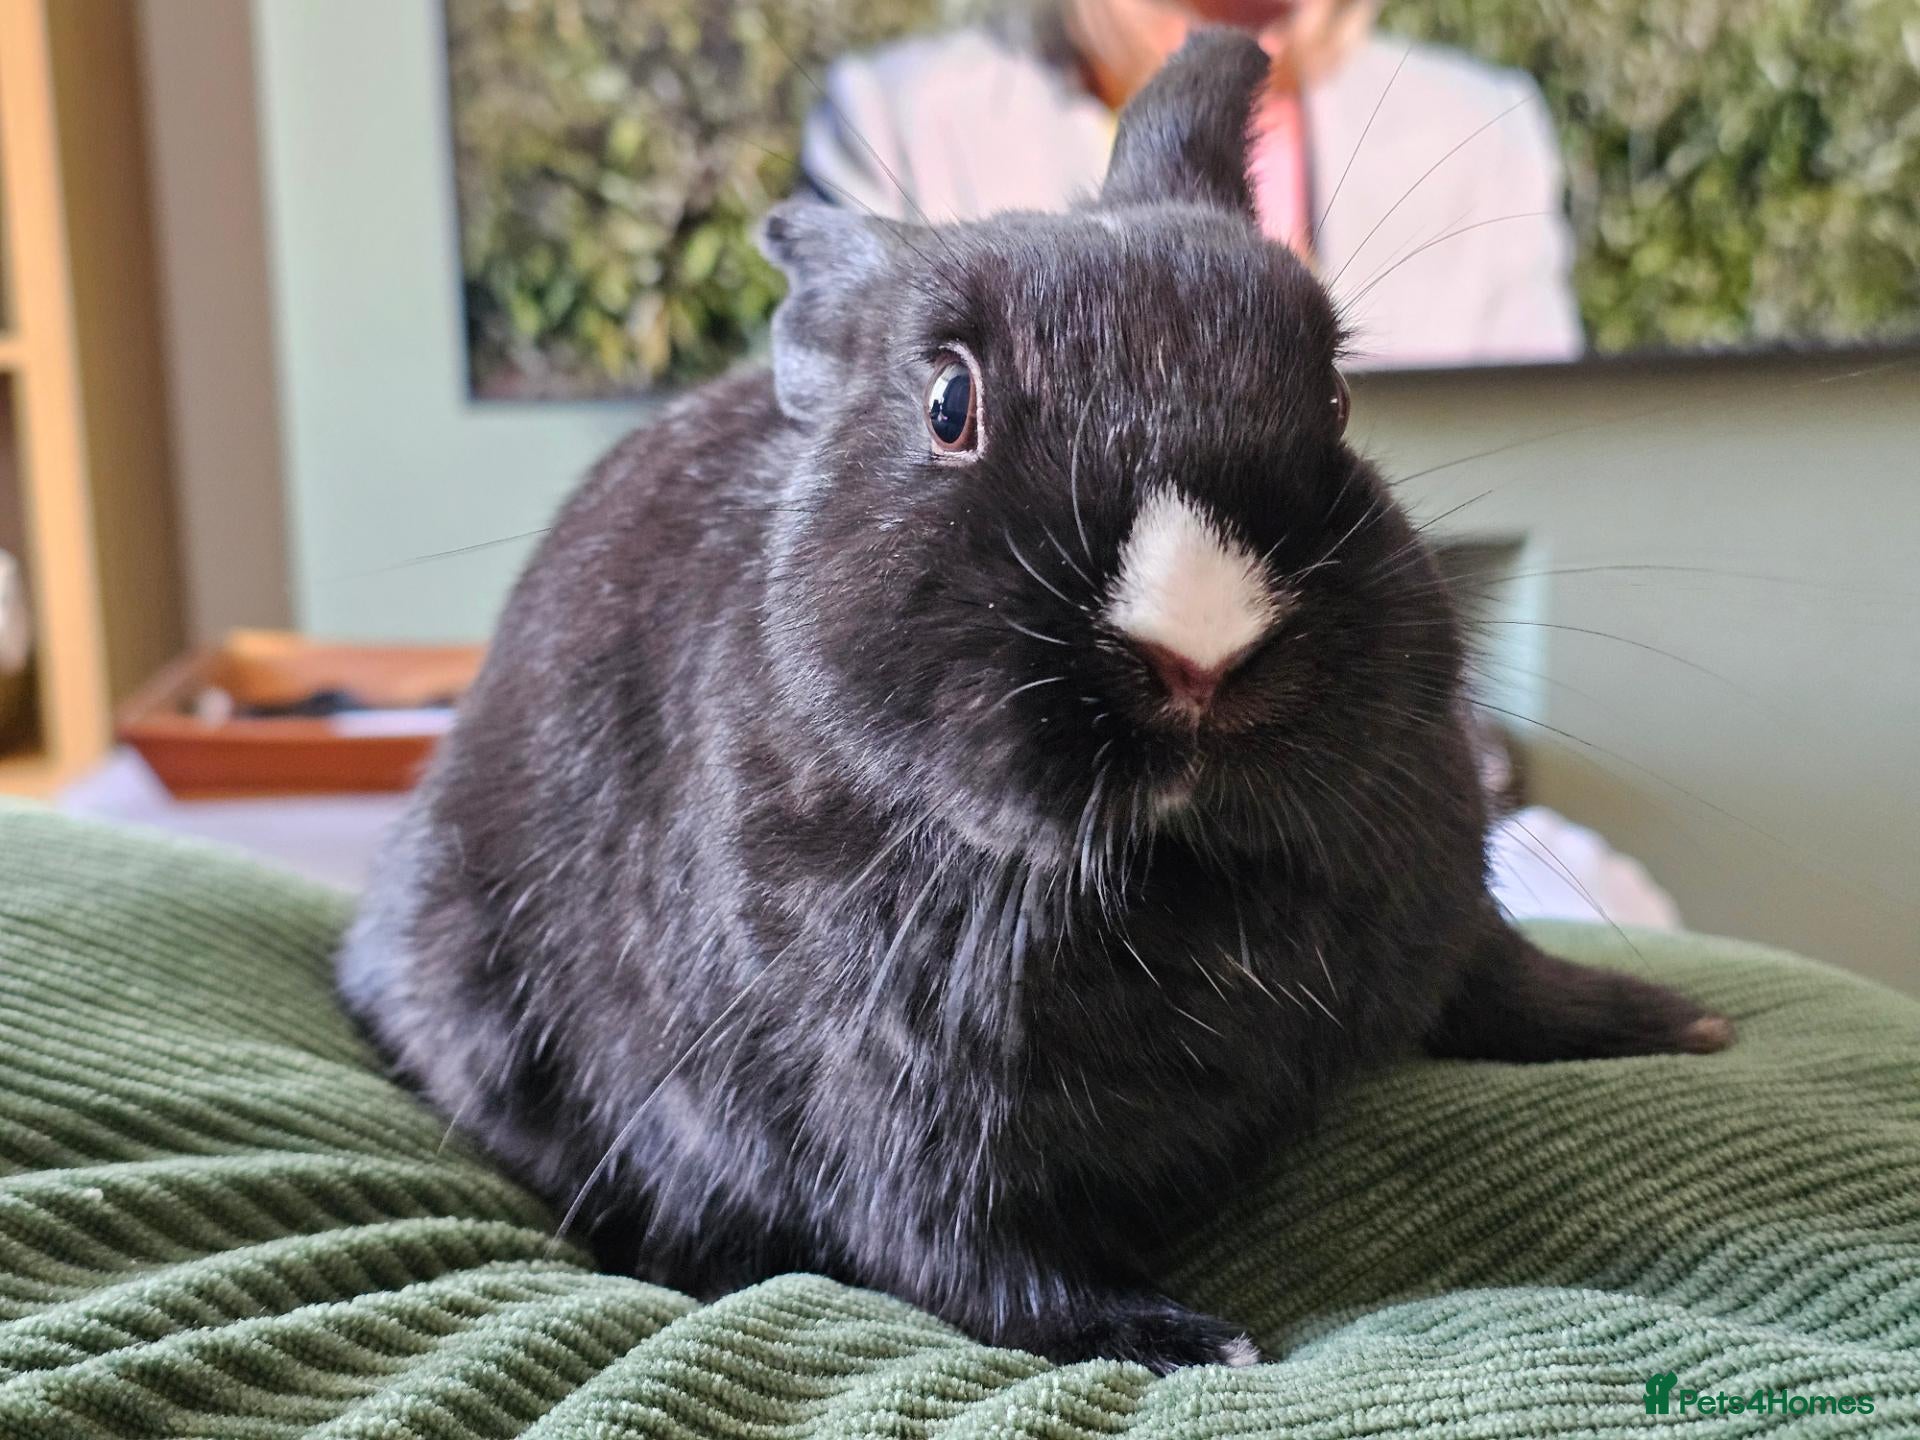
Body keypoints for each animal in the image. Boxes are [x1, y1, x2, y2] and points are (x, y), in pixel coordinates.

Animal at [337, 29, 1733, 1374]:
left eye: (1335, 397)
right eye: (949, 406)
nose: (1201, 652)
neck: (1185, 871)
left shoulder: (1447, 899)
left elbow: (1508, 977)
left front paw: (1674, 1022)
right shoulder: (894, 1102)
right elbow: (974, 1260)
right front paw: (1180, 1341)